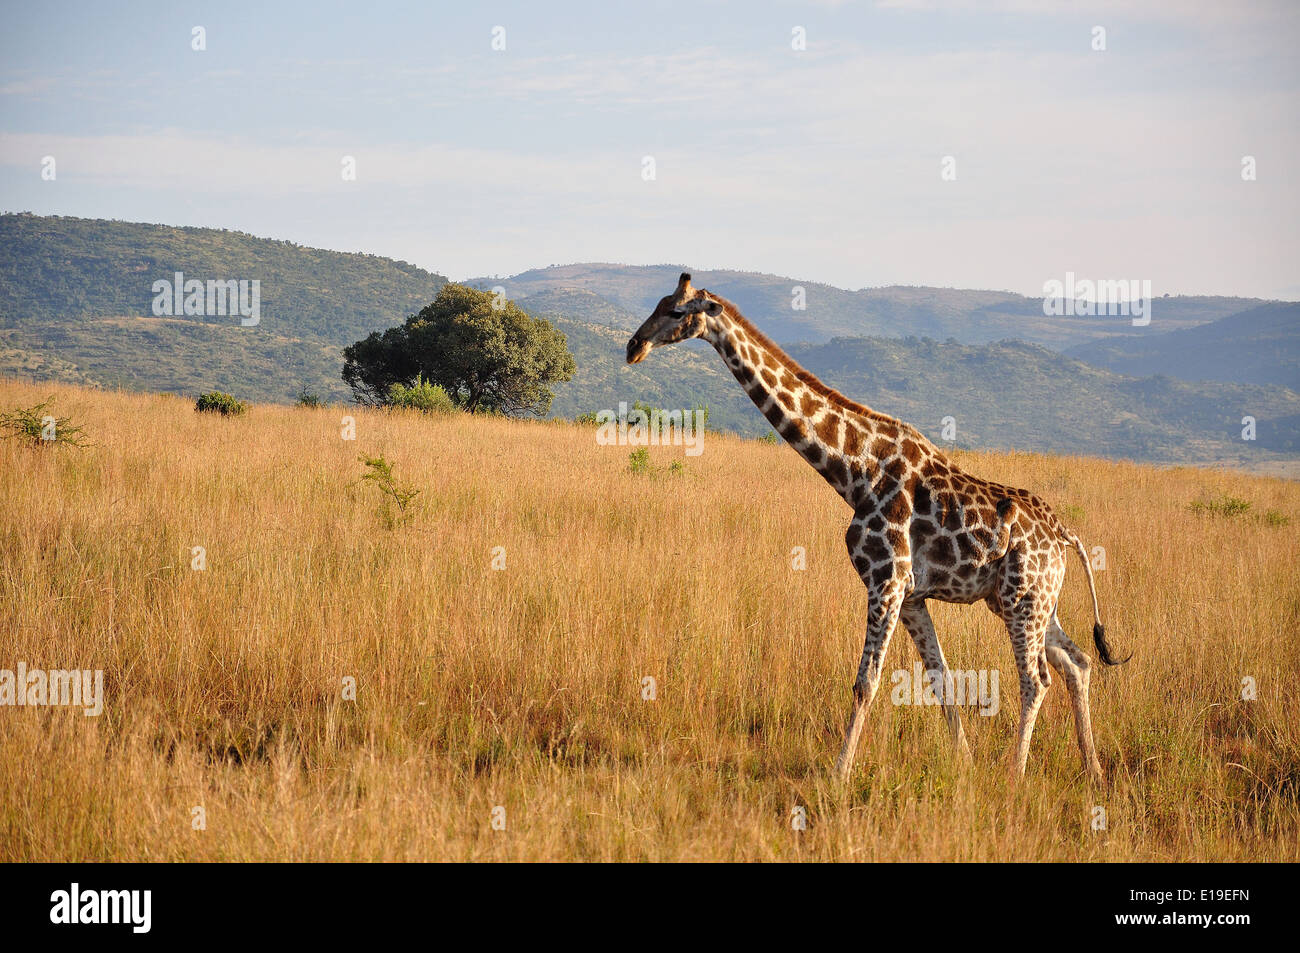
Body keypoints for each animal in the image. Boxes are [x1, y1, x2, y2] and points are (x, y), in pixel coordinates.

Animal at [626, 273, 1128, 780]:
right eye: (659, 302)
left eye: (676, 311)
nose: (633, 346)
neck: (853, 472)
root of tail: (1065, 534)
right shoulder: (911, 595)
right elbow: (940, 678)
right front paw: (964, 762)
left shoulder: (885, 581)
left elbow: (865, 681)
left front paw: (839, 773)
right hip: (1031, 600)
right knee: (1078, 662)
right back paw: (1093, 770)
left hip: (1022, 599)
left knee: (1036, 678)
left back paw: (1014, 774)